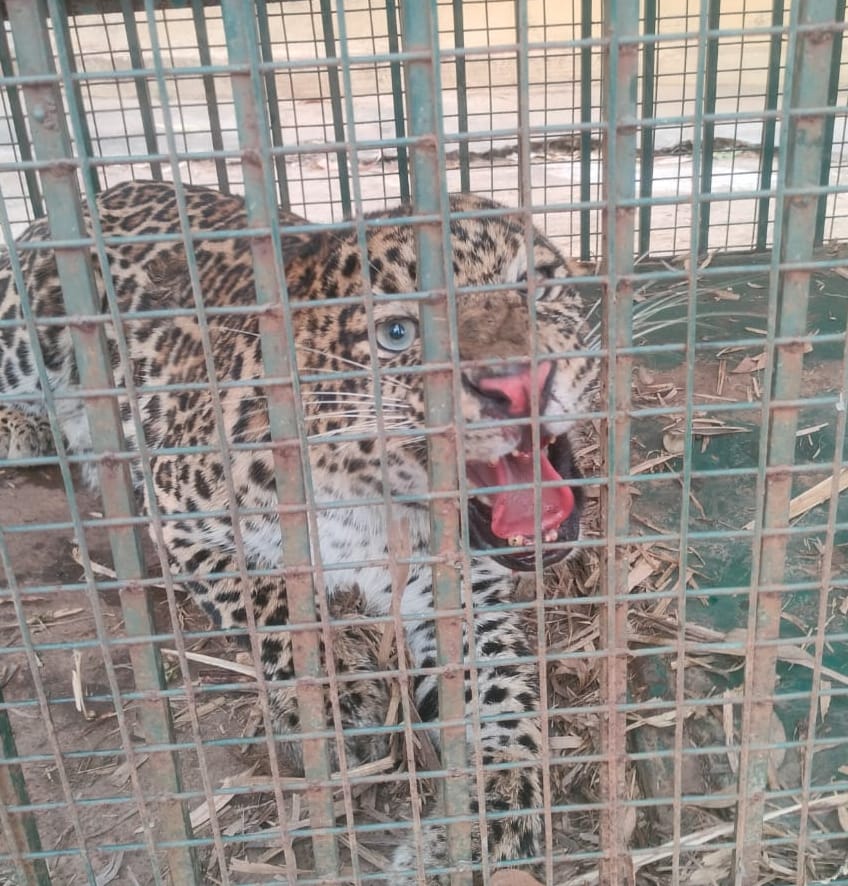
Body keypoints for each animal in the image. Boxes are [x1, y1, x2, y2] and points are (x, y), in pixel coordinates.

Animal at [0, 179, 596, 882]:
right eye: (398, 333)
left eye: (536, 285)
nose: (520, 383)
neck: (374, 497)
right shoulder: (180, 517)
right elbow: (271, 600)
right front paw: (344, 689)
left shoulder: (458, 589)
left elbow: (505, 696)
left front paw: (485, 819)